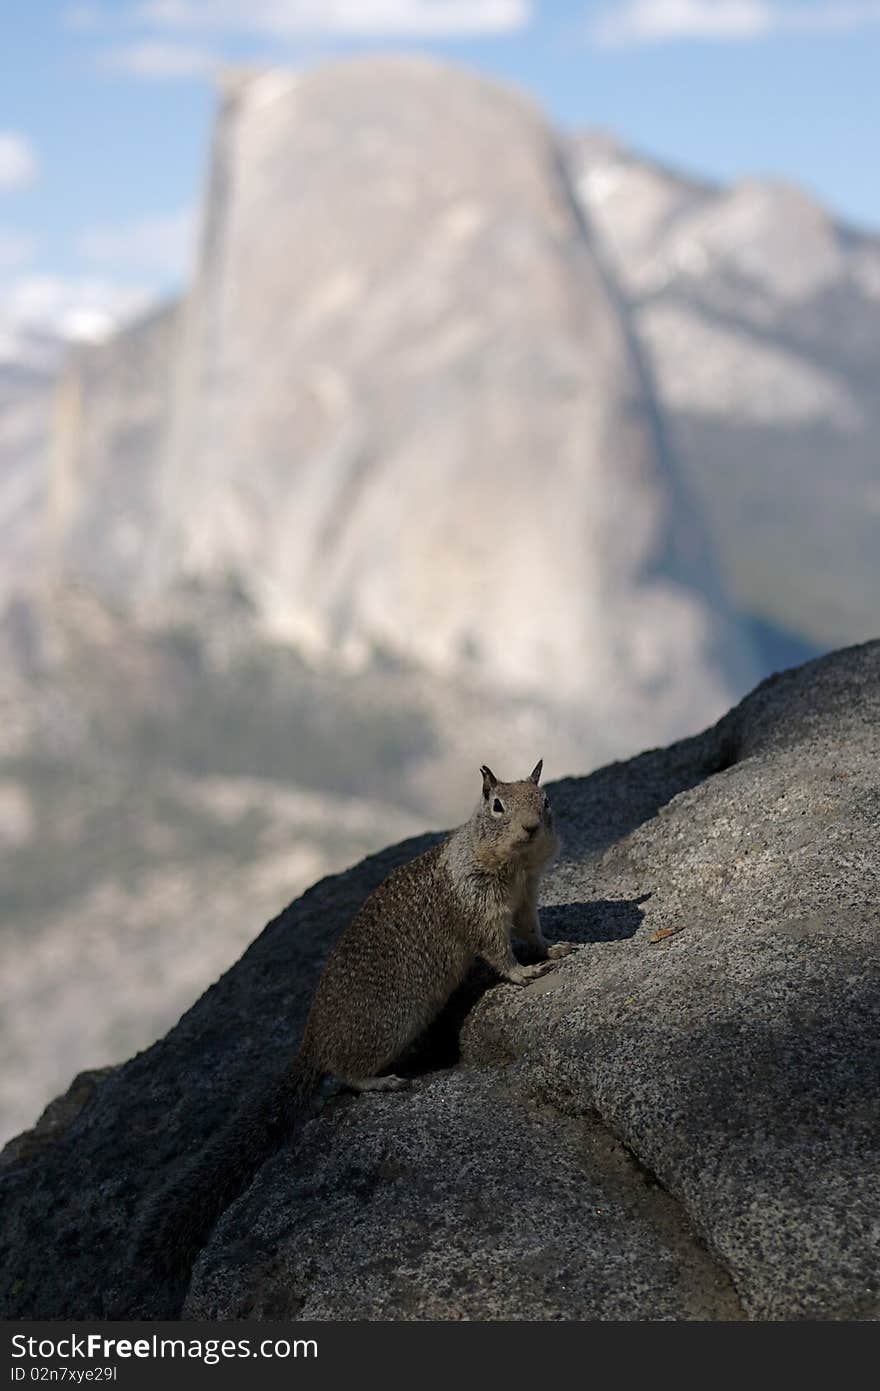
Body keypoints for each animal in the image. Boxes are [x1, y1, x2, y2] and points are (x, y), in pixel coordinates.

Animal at [139, 762, 569, 1279]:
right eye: (497, 806)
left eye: (545, 800)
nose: (531, 828)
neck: (512, 868)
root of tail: (312, 1040)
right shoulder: (478, 908)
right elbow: (498, 950)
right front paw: (523, 973)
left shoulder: (526, 899)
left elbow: (532, 931)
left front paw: (554, 949)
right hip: (384, 1030)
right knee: (345, 1075)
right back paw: (382, 1082)